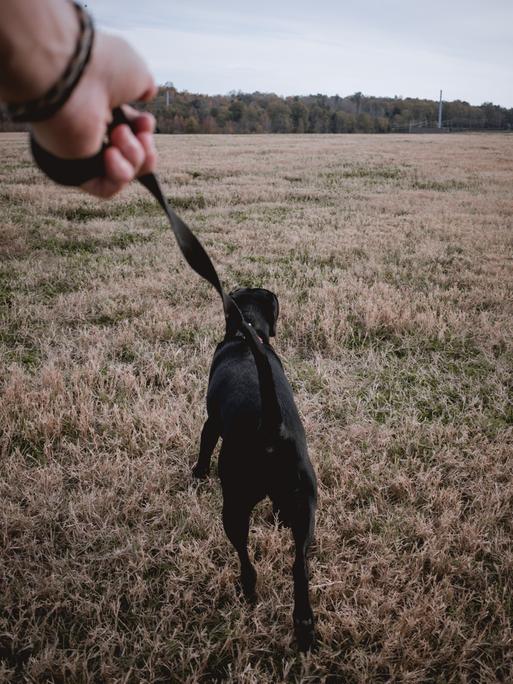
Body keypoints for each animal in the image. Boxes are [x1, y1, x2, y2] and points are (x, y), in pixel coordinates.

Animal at [192, 286, 316, 648]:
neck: (246, 333)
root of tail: (272, 427)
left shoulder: (211, 423)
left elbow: (204, 445)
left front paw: (198, 472)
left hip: (234, 505)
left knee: (245, 557)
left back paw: (247, 588)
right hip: (306, 505)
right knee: (299, 565)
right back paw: (304, 624)